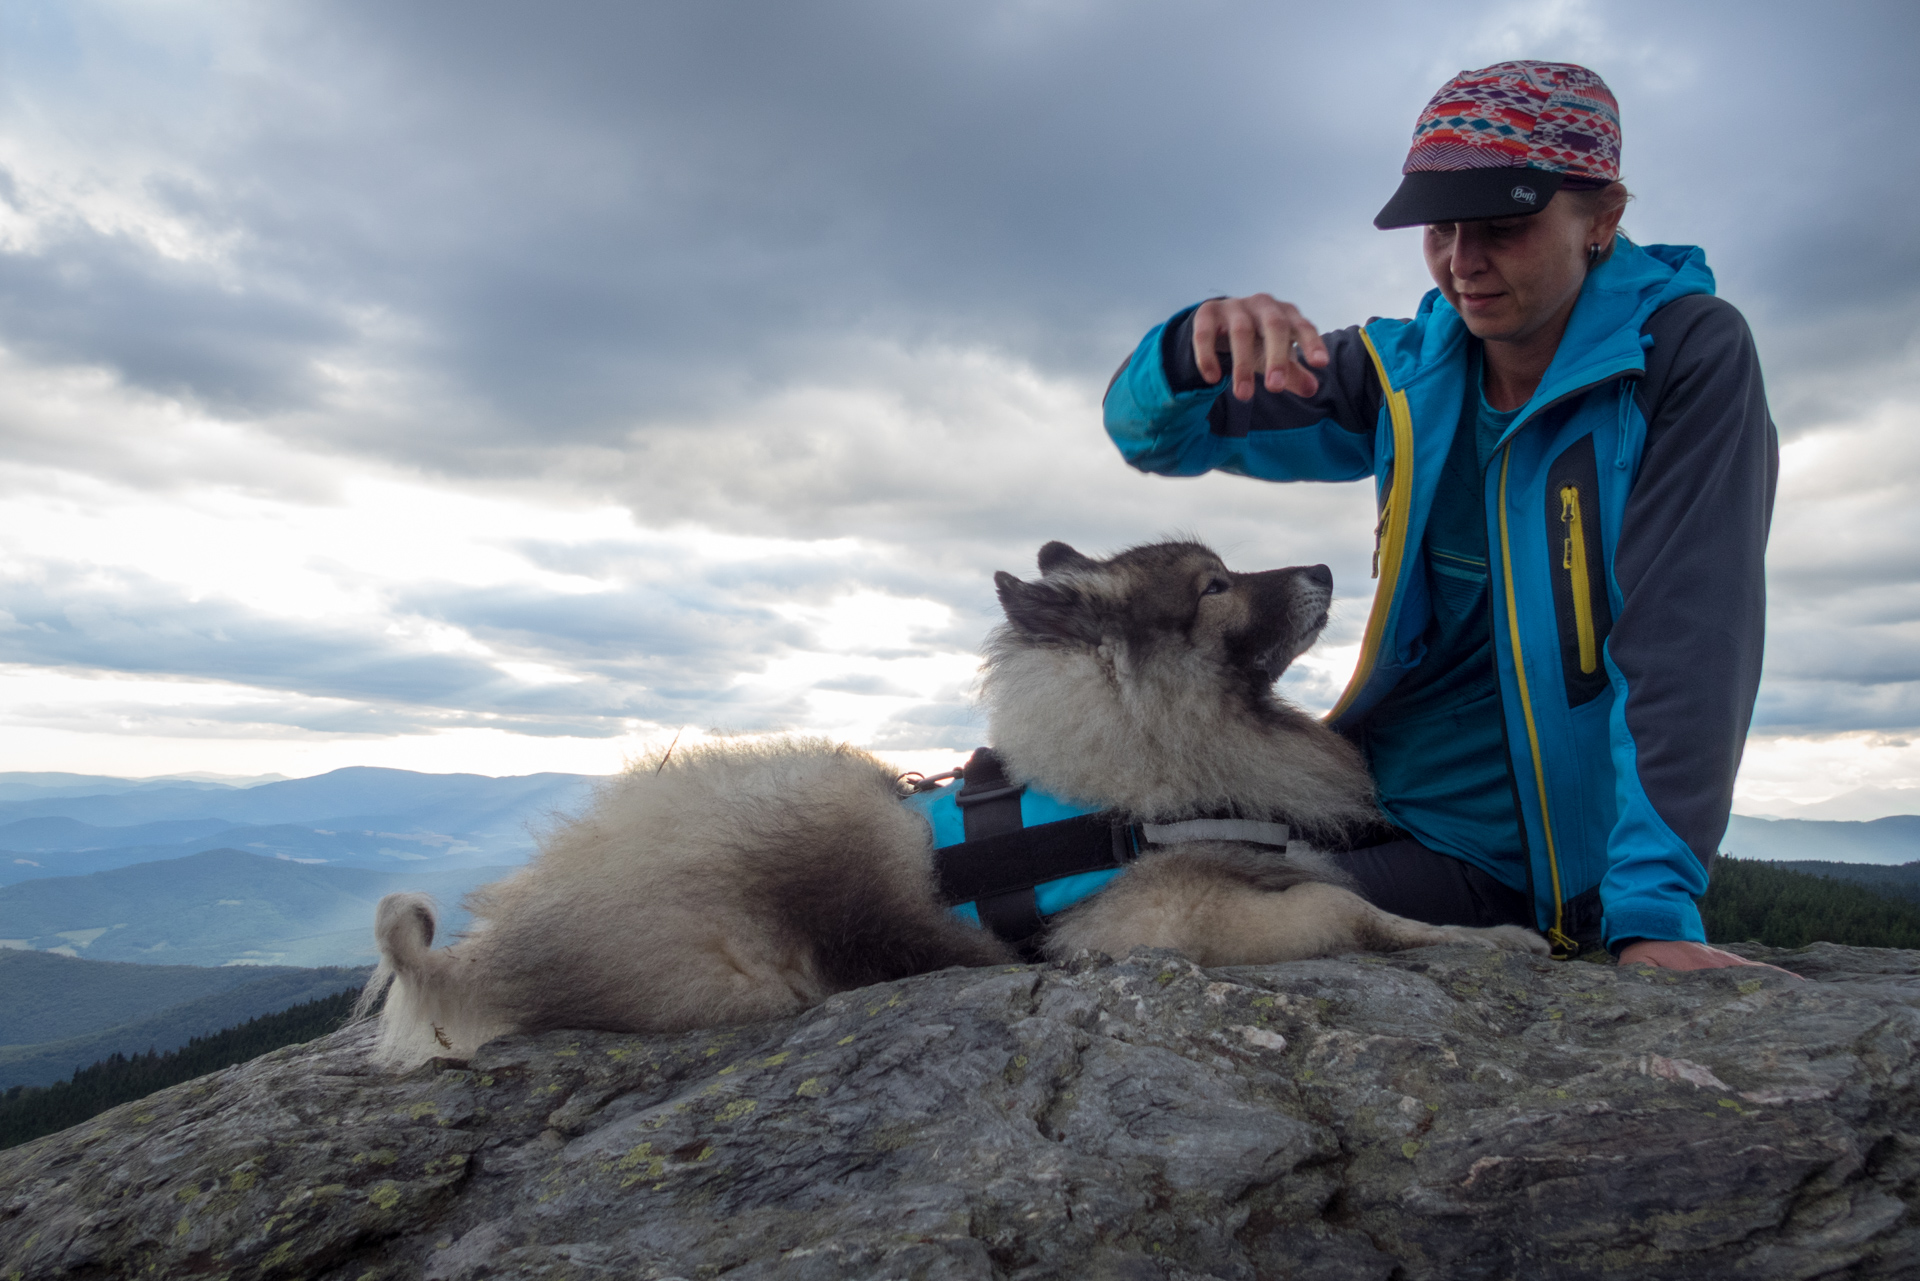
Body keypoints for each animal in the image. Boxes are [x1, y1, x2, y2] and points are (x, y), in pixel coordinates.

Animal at [360, 537, 1543, 1067]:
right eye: (1212, 586)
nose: (1332, 570)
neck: (1131, 771)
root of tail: (483, 954)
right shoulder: (1165, 921)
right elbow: (1357, 912)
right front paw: (1496, 938)